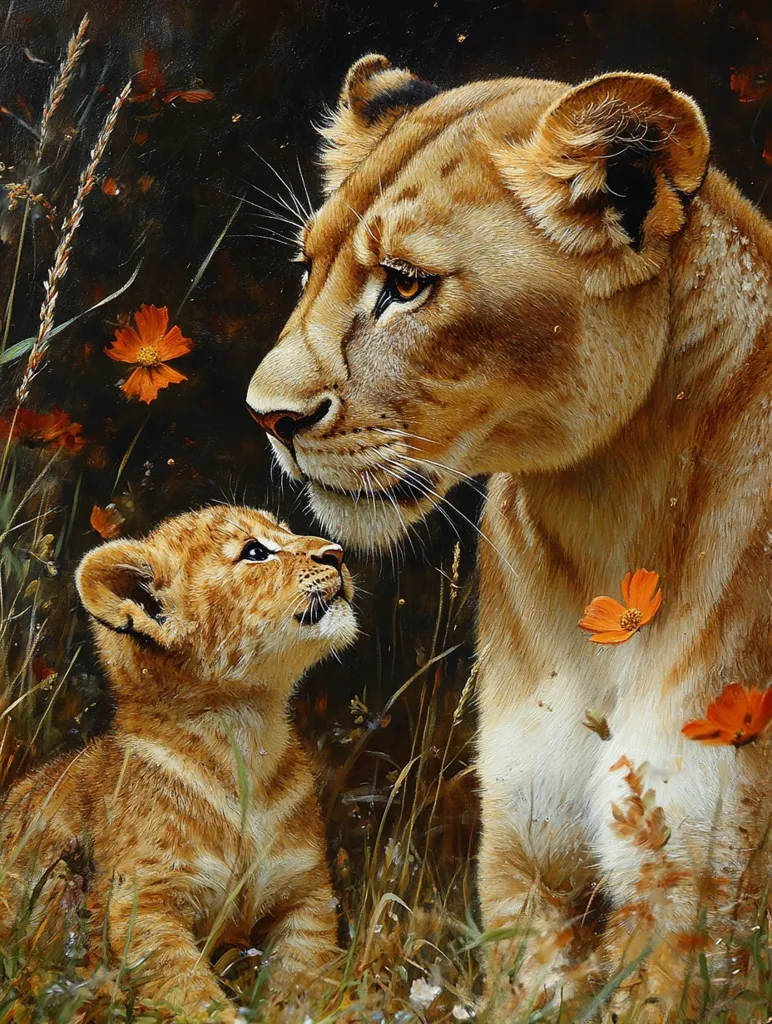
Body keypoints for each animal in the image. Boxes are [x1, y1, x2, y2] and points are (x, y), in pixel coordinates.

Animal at [0, 505, 357, 1022]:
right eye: (255, 552)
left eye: (285, 530)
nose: (338, 554)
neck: (245, 734)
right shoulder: (140, 904)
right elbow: (191, 995)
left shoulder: (305, 895)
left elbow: (301, 985)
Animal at [246, 56, 772, 1018]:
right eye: (307, 266)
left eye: (405, 284)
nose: (268, 415)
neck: (606, 519)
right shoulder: (527, 865)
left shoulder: (701, 891)